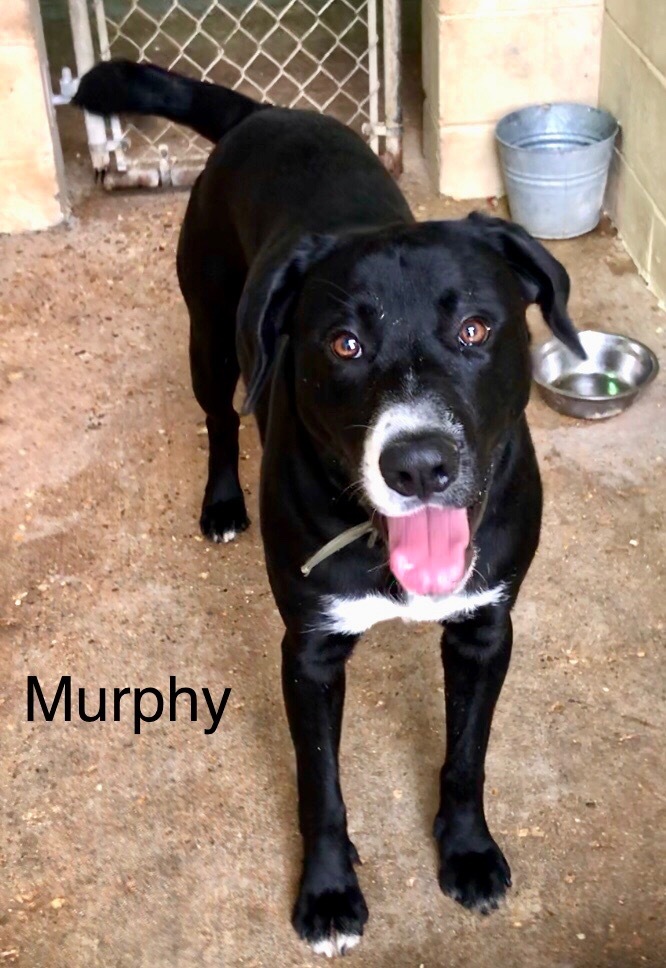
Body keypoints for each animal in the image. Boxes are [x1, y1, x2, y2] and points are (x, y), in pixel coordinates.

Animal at [74, 62, 580, 960]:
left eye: (477, 329)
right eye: (344, 344)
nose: (419, 464)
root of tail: (264, 110)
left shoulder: (486, 629)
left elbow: (467, 758)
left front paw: (468, 853)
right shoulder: (308, 653)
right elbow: (322, 788)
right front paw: (329, 893)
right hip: (211, 334)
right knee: (218, 416)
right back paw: (221, 503)